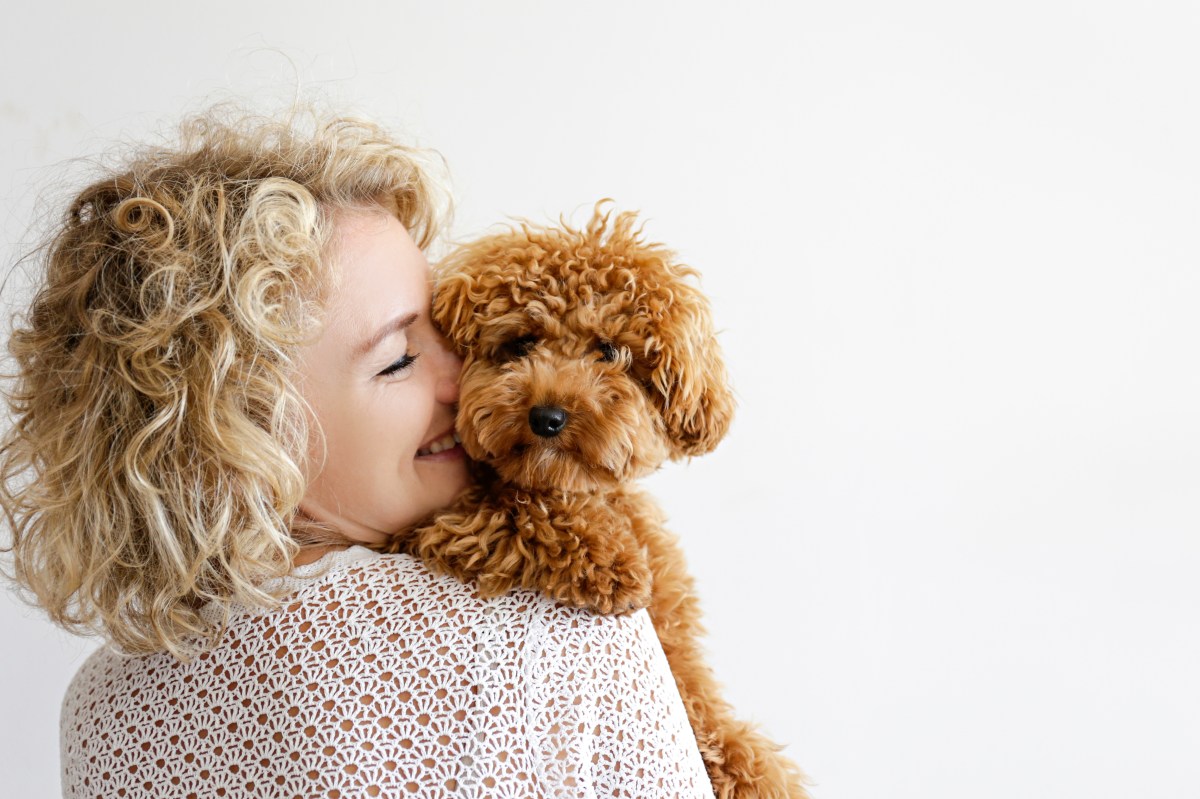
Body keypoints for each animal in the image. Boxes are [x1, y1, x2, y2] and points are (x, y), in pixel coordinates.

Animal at [388, 202, 811, 791]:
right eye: (522, 343)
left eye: (609, 351)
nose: (546, 416)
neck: (578, 489)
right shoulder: (426, 527)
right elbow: (519, 510)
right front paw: (612, 563)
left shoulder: (676, 640)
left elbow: (709, 714)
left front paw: (751, 771)